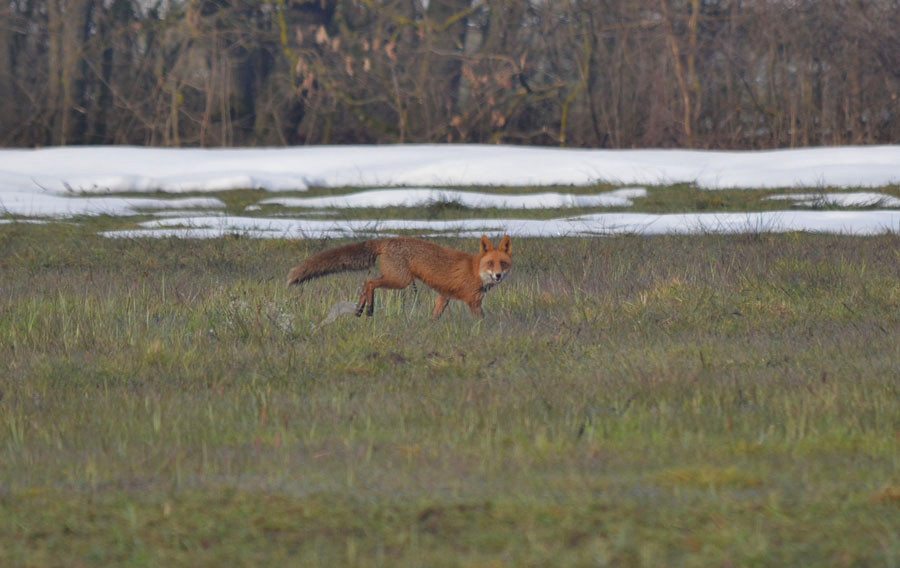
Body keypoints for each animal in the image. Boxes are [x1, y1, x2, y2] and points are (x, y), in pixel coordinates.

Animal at [288, 233, 512, 318]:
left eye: (503, 263)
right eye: (490, 263)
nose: (498, 275)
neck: (475, 270)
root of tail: (388, 239)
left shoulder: (444, 296)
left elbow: (435, 317)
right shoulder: (473, 301)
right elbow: (482, 321)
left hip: (397, 279)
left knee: (365, 284)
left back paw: (361, 309)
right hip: (400, 280)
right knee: (370, 282)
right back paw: (369, 309)